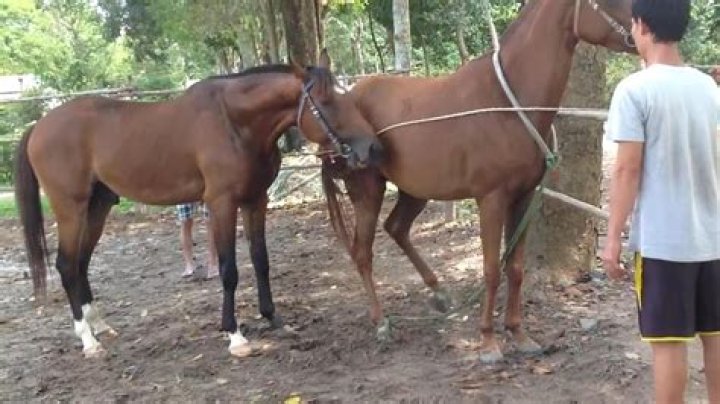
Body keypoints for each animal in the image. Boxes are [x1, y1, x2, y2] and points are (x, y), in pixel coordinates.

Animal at [14, 51, 383, 358]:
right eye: (325, 101)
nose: (372, 148)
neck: (233, 122)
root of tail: (38, 126)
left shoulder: (255, 200)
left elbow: (260, 260)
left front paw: (272, 318)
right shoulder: (221, 203)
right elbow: (229, 269)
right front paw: (235, 335)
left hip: (98, 207)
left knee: (81, 264)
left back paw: (100, 326)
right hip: (71, 208)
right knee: (66, 265)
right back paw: (88, 340)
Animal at [321, 0, 637, 363]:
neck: (507, 104)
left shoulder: (524, 197)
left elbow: (515, 268)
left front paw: (519, 334)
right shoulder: (492, 199)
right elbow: (491, 269)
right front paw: (488, 342)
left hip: (416, 190)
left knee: (397, 228)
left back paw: (439, 293)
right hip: (368, 190)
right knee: (363, 253)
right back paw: (382, 322)